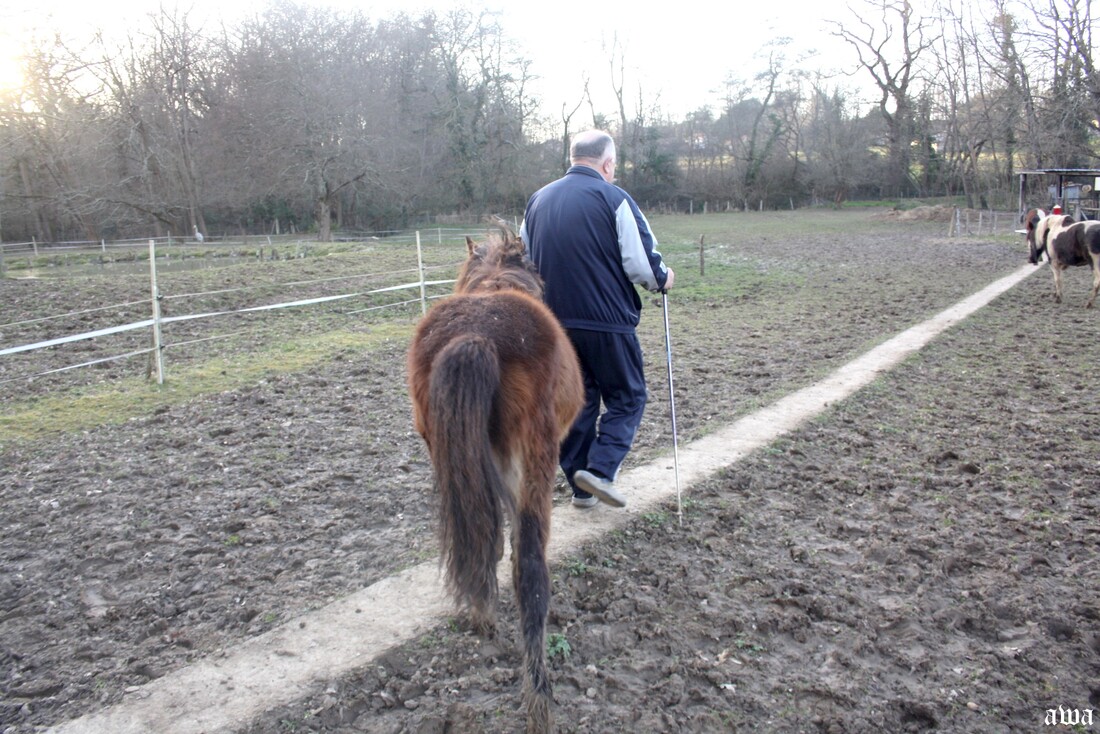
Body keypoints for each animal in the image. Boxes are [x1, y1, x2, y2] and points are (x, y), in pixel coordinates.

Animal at [409, 221, 585, 730]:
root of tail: (475, 336)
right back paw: (539, 697)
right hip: (536, 459)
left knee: (476, 536)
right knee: (530, 566)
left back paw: (482, 616)